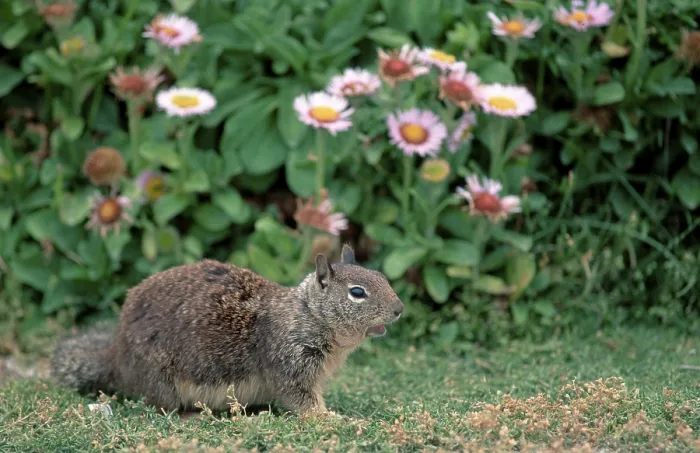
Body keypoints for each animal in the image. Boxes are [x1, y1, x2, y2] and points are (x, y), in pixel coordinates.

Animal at [50, 244, 404, 415]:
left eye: (381, 277)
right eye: (357, 292)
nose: (400, 309)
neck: (306, 314)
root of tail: (117, 354)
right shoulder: (289, 362)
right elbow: (301, 399)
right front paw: (331, 418)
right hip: (162, 379)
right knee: (160, 407)